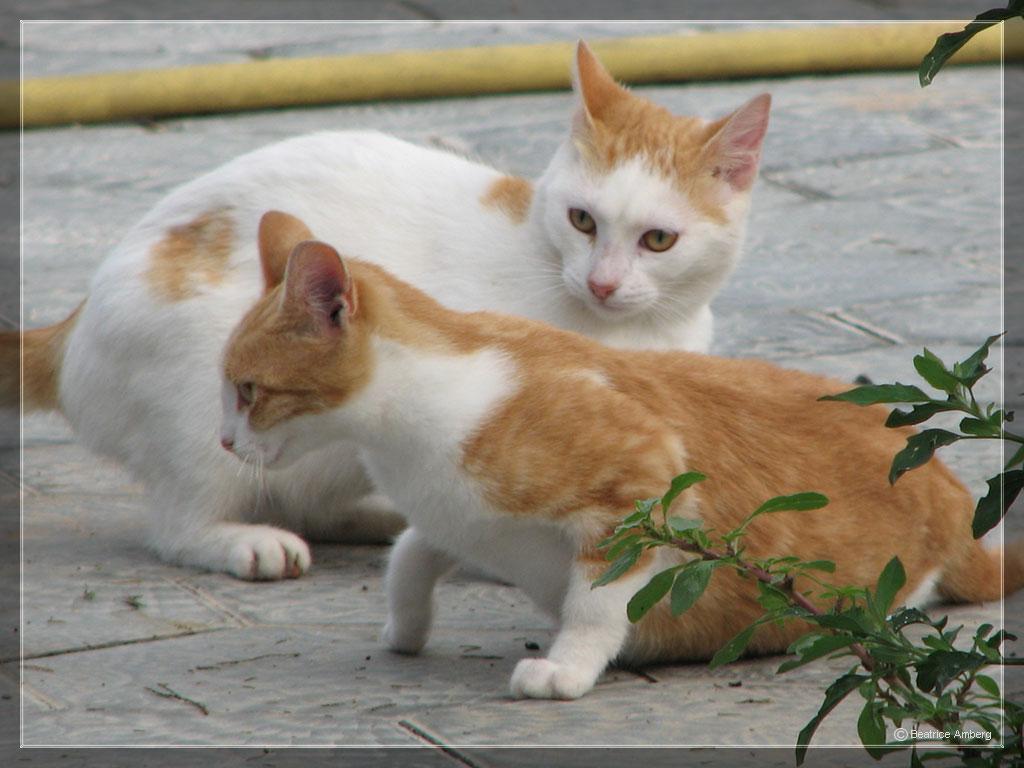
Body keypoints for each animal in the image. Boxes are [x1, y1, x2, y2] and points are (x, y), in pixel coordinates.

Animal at [4, 41, 770, 580]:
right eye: (582, 220)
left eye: (658, 240)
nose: (603, 284)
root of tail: (72, 329)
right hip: (210, 409)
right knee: (180, 520)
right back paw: (243, 541)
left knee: (308, 492)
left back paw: (376, 517)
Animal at [219, 211, 1023, 700]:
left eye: (249, 390)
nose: (225, 441)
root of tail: (954, 503)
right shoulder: (454, 514)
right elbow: (410, 556)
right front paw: (406, 628)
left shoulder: (641, 488)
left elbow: (599, 600)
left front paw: (567, 668)